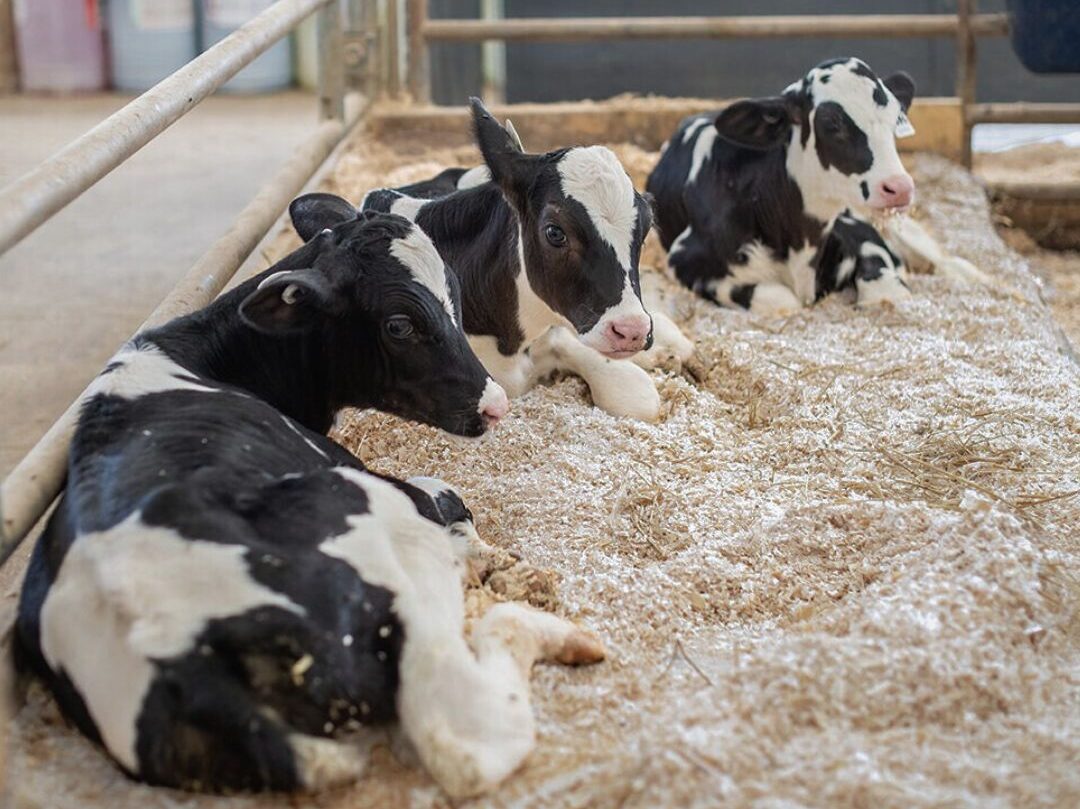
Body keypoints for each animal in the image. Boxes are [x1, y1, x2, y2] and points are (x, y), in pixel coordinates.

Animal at [14, 205, 604, 798]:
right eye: (399, 325)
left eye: (454, 296)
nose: (495, 404)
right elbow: (446, 495)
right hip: (390, 545)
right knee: (467, 737)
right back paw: (554, 631)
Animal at [647, 57, 919, 314]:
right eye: (832, 124)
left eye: (895, 118)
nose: (899, 187)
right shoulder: (683, 257)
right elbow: (783, 300)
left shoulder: (859, 231)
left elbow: (888, 286)